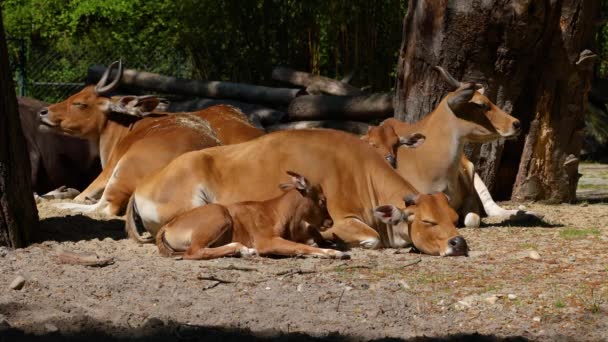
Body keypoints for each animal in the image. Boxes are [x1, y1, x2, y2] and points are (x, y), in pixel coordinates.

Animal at [39, 60, 262, 216]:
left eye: (80, 103)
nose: (43, 112)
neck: (126, 127)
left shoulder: (108, 169)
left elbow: (84, 193)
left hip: (121, 171)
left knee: (105, 208)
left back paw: (60, 204)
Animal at [154, 171, 350, 260]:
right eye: (323, 200)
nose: (330, 221)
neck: (278, 212)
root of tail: (168, 226)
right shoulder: (266, 241)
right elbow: (300, 246)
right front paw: (334, 252)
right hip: (219, 215)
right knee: (193, 252)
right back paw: (241, 248)